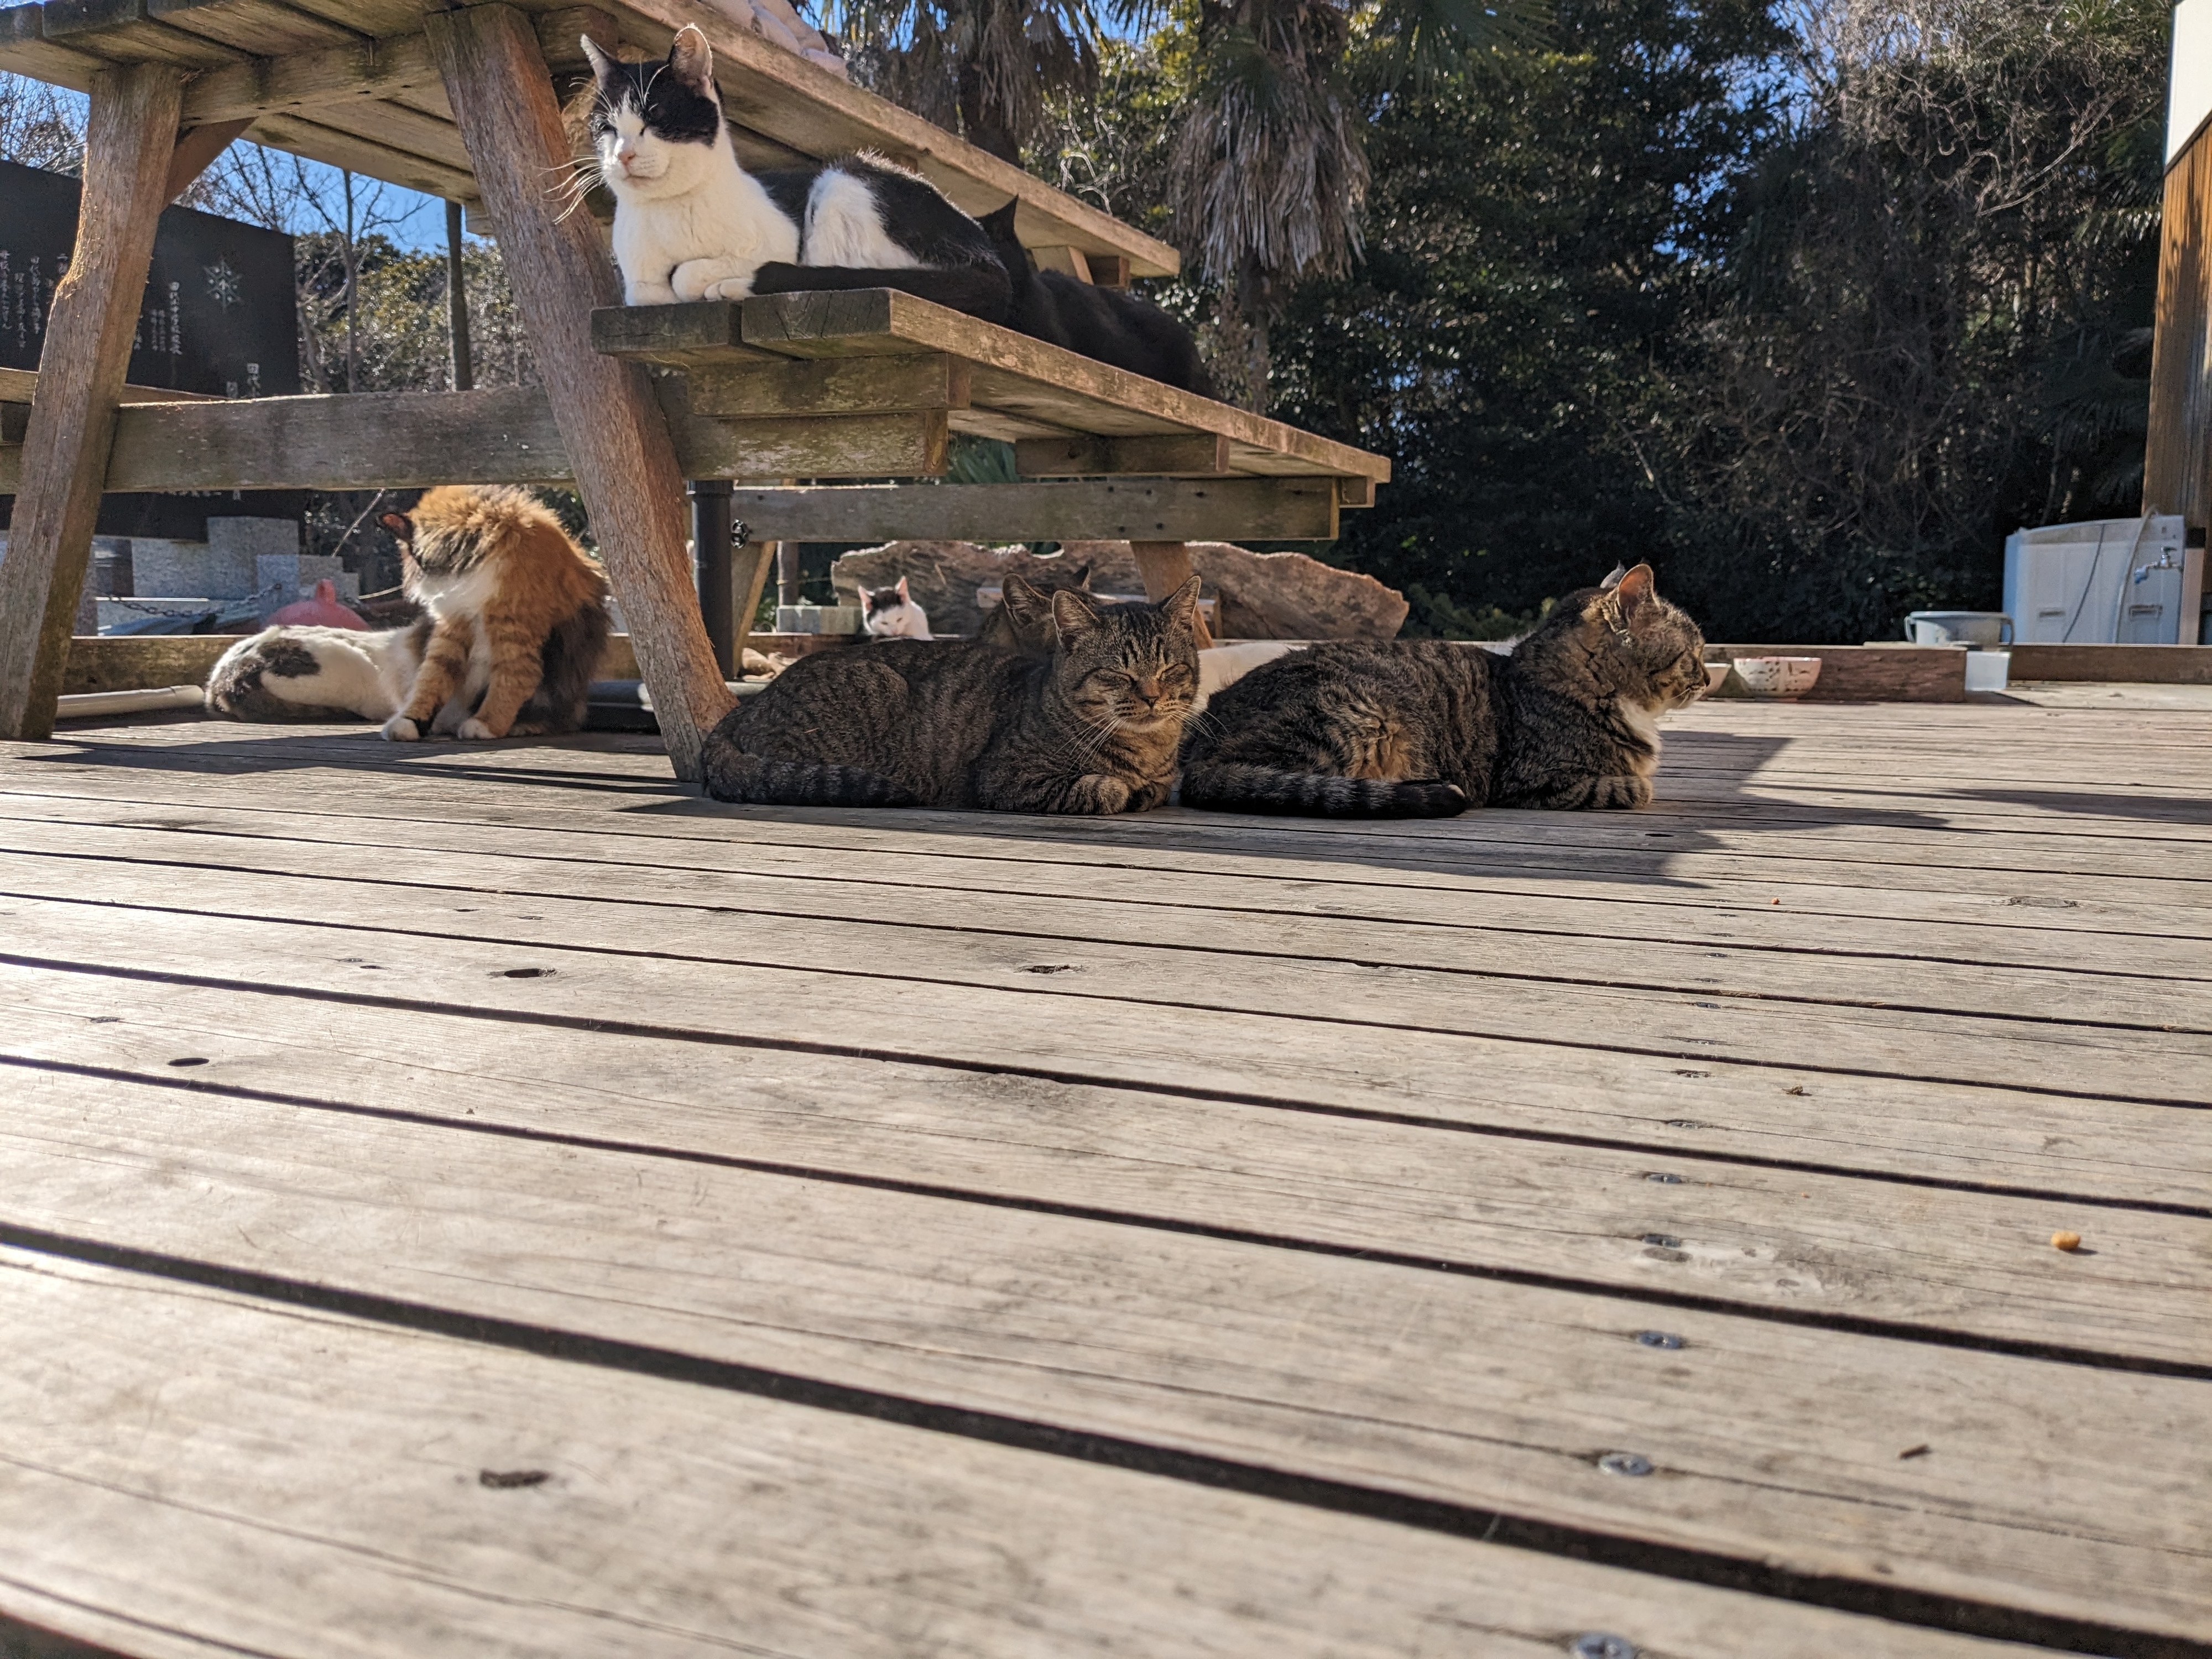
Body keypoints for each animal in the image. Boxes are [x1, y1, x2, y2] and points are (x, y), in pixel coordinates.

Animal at [374, 480, 611, 739]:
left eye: (413, 555)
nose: (415, 579)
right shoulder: (453, 624)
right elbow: (432, 679)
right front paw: (410, 722)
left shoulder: (513, 629)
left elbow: (512, 681)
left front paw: (485, 724)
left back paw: (520, 726)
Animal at [584, 24, 1009, 321]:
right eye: (607, 127)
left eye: (653, 119)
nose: (623, 155)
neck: (667, 213)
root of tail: (991, 255)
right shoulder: (638, 289)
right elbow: (649, 290)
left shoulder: (779, 242)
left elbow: (684, 276)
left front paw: (709, 278)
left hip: (840, 185)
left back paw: (734, 286)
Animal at [708, 580, 1203, 814]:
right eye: (1117, 672)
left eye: (1170, 669)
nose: (1152, 697)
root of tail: (747, 709)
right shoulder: (1004, 777)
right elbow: (1107, 788)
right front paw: (1121, 787)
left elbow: (1155, 788)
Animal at [1186, 571, 1699, 823]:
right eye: (1693, 649)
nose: (1703, 679)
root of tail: (1199, 752)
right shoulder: (1535, 780)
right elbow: (1635, 786)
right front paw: (1637, 785)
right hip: (1364, 717)